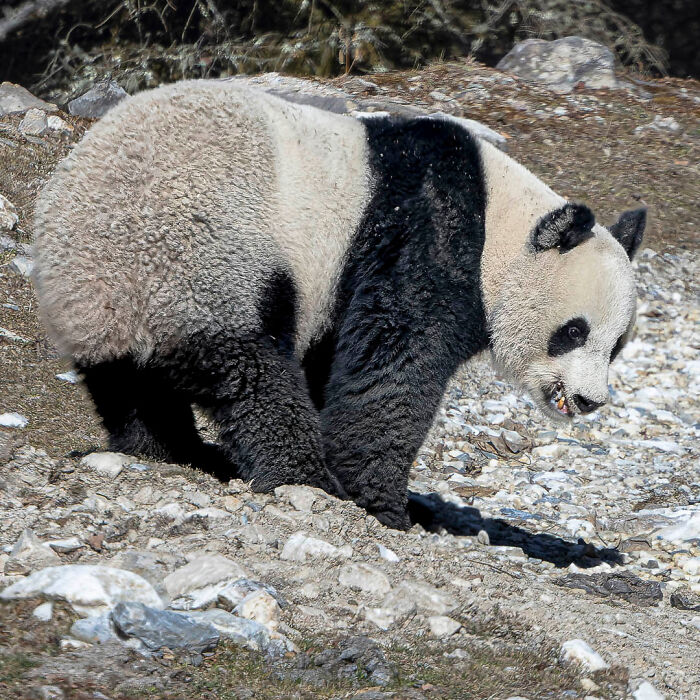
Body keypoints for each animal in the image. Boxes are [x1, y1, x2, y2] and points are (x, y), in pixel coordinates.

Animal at [32, 80, 646, 530]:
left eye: (616, 346)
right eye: (573, 331)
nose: (589, 400)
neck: (502, 223)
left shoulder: (342, 291)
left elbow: (338, 362)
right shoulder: (427, 237)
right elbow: (394, 366)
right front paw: (385, 505)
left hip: (113, 302)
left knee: (132, 388)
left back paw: (168, 451)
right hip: (205, 258)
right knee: (250, 371)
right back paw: (300, 475)